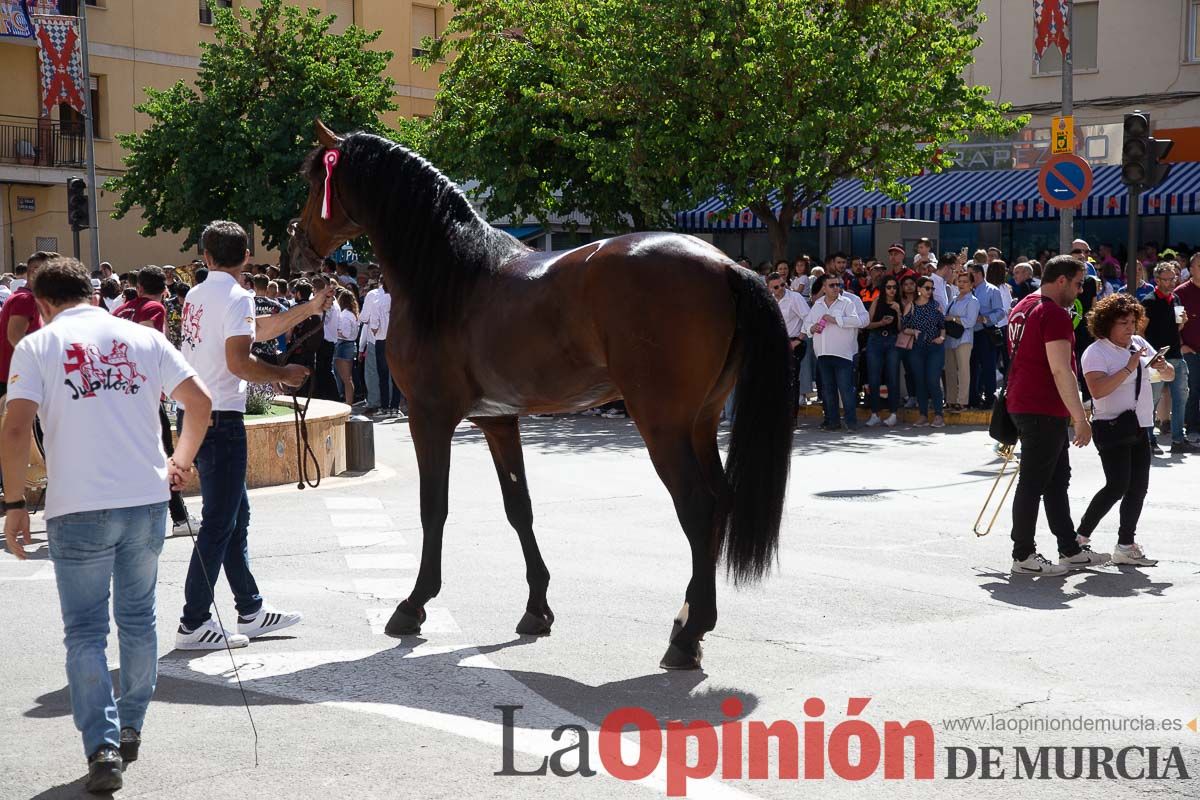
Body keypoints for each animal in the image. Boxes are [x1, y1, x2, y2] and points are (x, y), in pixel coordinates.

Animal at [288, 120, 796, 671]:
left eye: (315, 181)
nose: (297, 244)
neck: (452, 277)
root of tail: (724, 266)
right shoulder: (498, 420)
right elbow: (520, 508)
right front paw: (537, 608)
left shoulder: (429, 417)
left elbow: (433, 508)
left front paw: (414, 604)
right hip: (700, 422)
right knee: (720, 503)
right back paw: (687, 621)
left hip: (663, 425)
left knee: (698, 508)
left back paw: (688, 636)